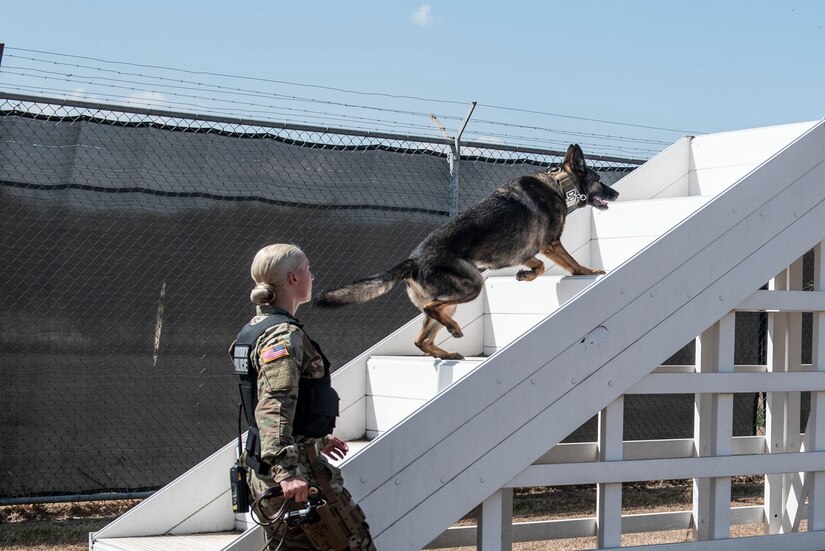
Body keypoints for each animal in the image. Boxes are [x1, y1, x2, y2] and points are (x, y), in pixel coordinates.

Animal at [316, 144, 616, 360]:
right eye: (599, 179)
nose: (614, 194)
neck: (560, 183)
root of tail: (413, 261)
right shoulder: (551, 243)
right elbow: (572, 263)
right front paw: (588, 270)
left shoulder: (529, 252)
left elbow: (538, 266)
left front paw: (526, 275)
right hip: (472, 284)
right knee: (432, 309)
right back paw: (453, 329)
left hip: (452, 298)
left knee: (421, 338)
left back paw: (447, 351)